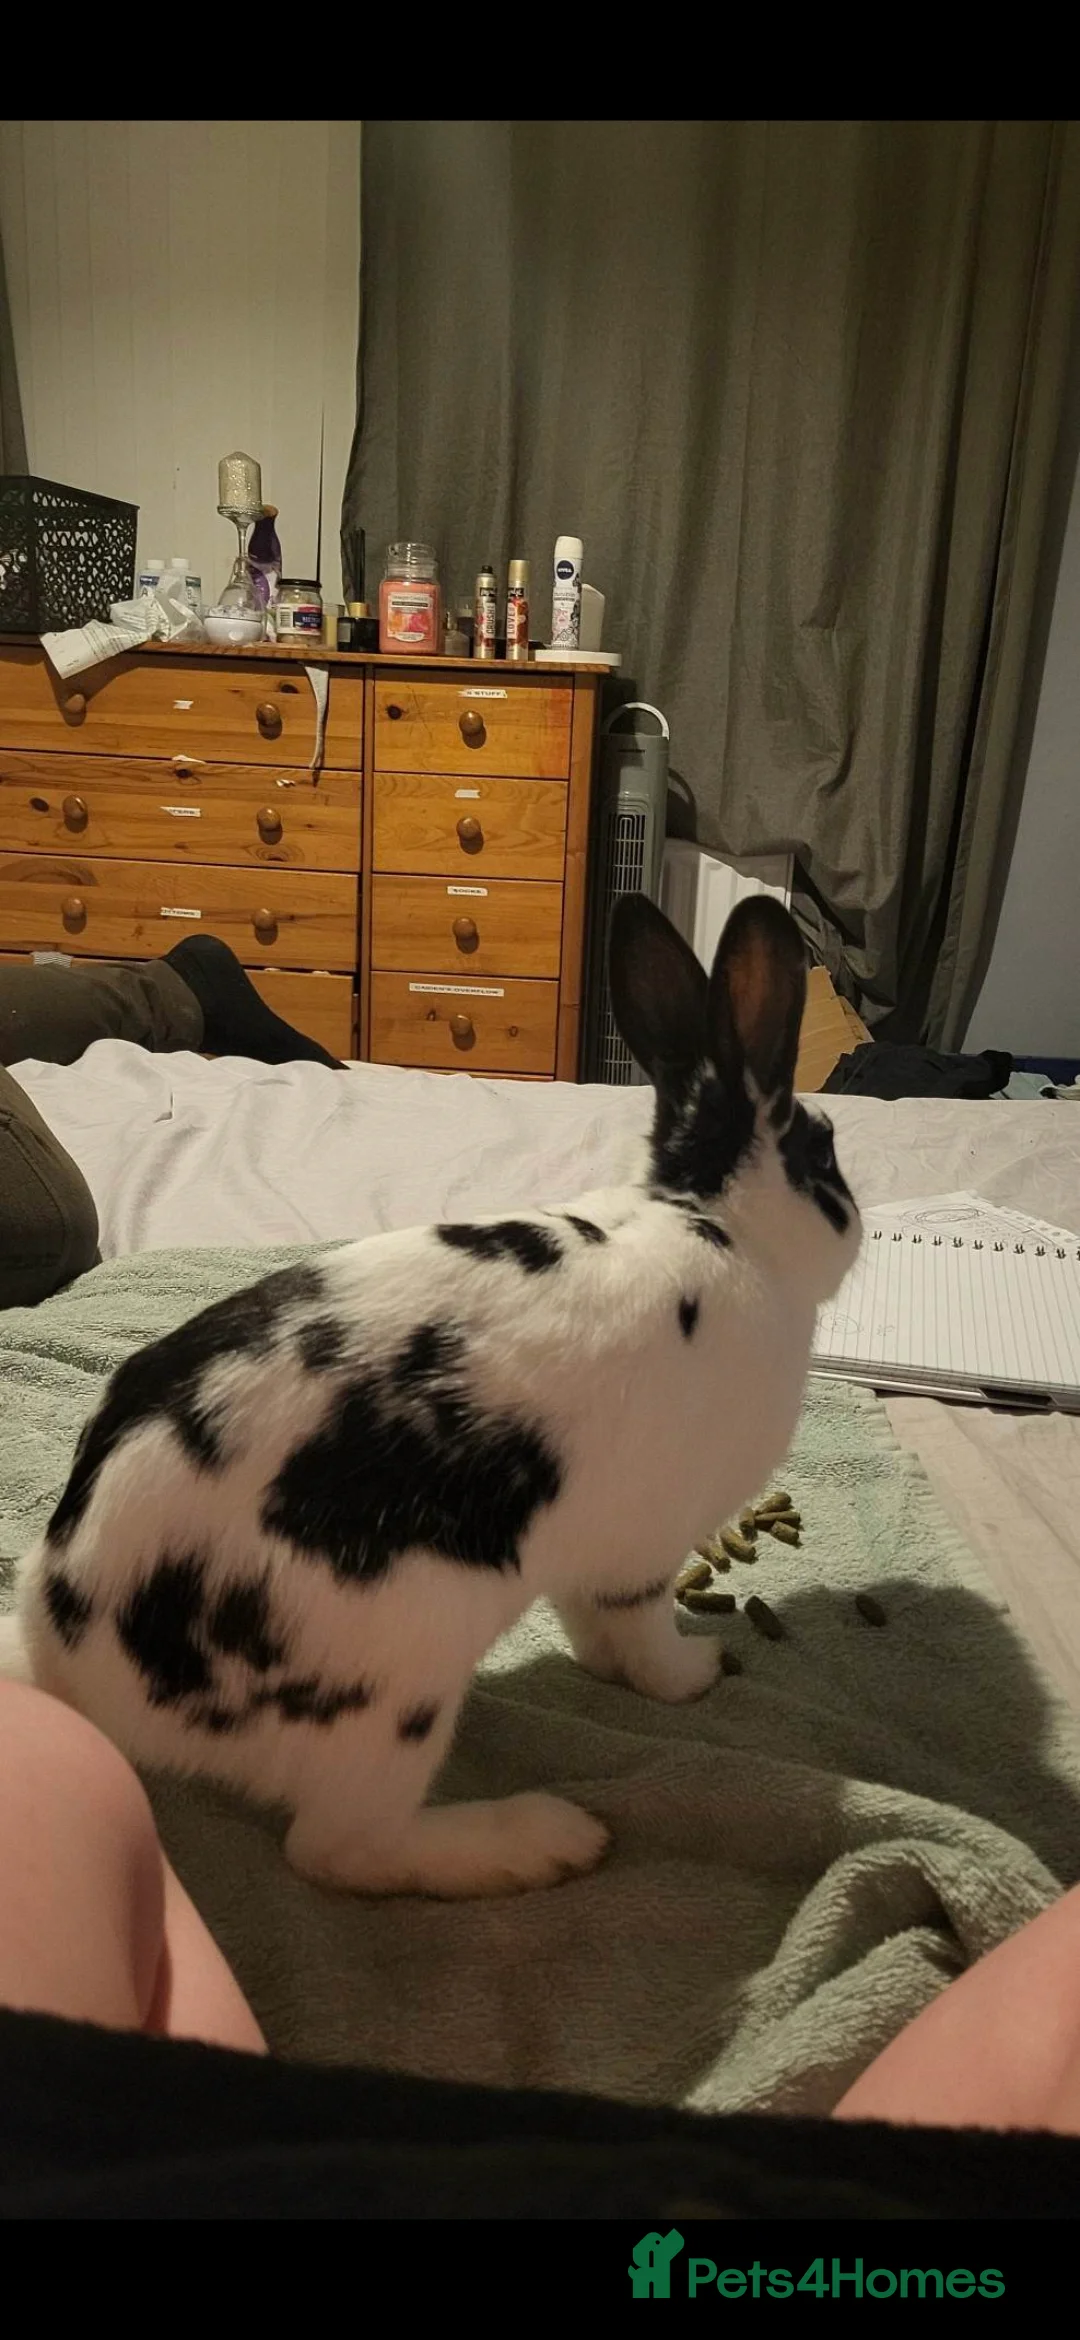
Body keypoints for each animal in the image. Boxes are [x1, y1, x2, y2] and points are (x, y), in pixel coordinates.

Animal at [11, 893, 861, 1900]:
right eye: (826, 1160)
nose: (857, 1228)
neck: (717, 1225)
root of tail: (65, 1661)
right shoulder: (643, 1545)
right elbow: (644, 1636)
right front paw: (695, 1673)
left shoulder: (581, 1556)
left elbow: (593, 1630)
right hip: (395, 1682)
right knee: (341, 1850)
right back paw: (542, 1838)